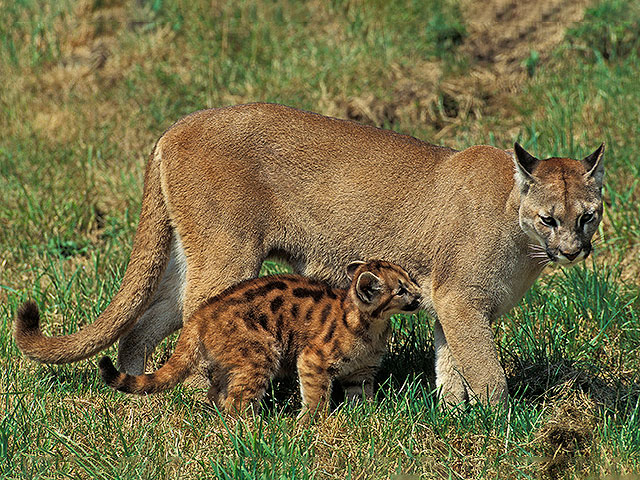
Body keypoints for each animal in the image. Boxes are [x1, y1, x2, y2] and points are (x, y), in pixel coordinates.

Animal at [15, 102, 604, 404]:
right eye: (550, 218)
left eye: (588, 215)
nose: (574, 250)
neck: (519, 230)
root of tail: (174, 126)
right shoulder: (463, 301)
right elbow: (485, 370)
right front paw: (496, 423)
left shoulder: (447, 303)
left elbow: (449, 363)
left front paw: (453, 412)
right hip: (228, 252)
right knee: (197, 314)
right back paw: (207, 397)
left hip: (189, 253)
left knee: (143, 323)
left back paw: (142, 402)